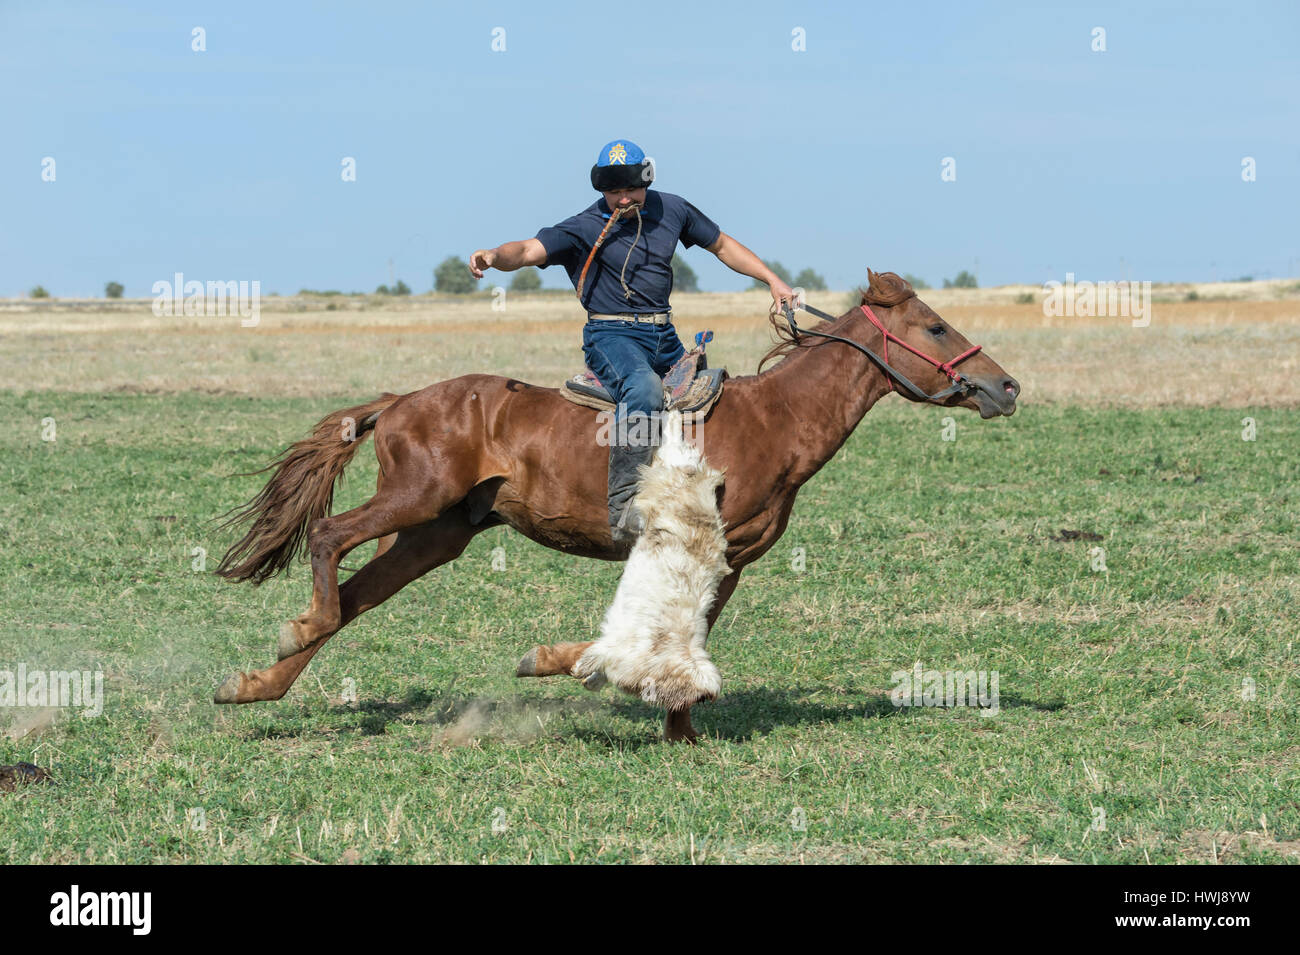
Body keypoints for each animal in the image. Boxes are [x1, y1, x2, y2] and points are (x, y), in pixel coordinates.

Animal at [215, 272, 1013, 743]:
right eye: (935, 328)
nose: (1004, 387)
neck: (774, 417)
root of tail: (400, 400)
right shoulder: (685, 546)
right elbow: (654, 633)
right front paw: (585, 670)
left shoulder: (729, 562)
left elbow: (691, 635)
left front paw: (678, 728)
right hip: (414, 500)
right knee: (328, 539)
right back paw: (296, 633)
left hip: (435, 534)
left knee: (354, 599)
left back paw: (255, 681)